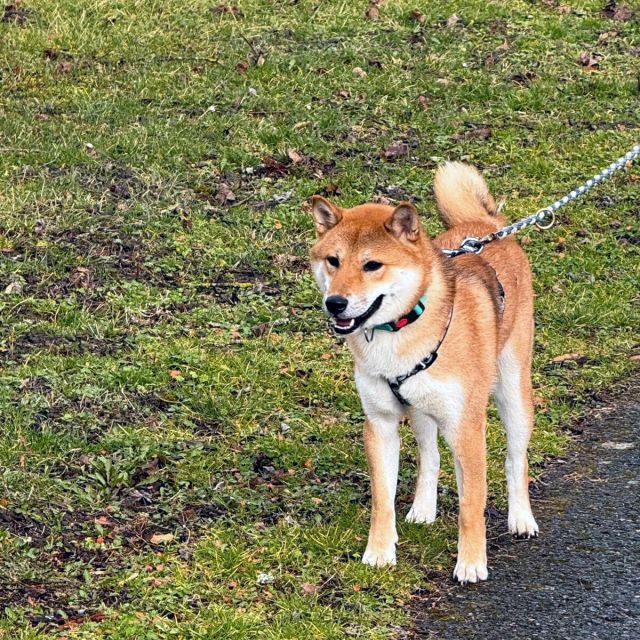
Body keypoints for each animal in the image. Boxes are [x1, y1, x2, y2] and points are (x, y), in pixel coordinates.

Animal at [308, 162, 536, 584]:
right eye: (333, 260)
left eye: (372, 265)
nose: (335, 303)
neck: (401, 330)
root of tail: (483, 225)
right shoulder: (380, 422)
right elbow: (382, 499)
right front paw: (379, 552)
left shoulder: (466, 425)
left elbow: (471, 505)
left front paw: (470, 562)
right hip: (422, 411)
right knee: (430, 455)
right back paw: (423, 509)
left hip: (511, 394)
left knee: (515, 459)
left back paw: (521, 518)